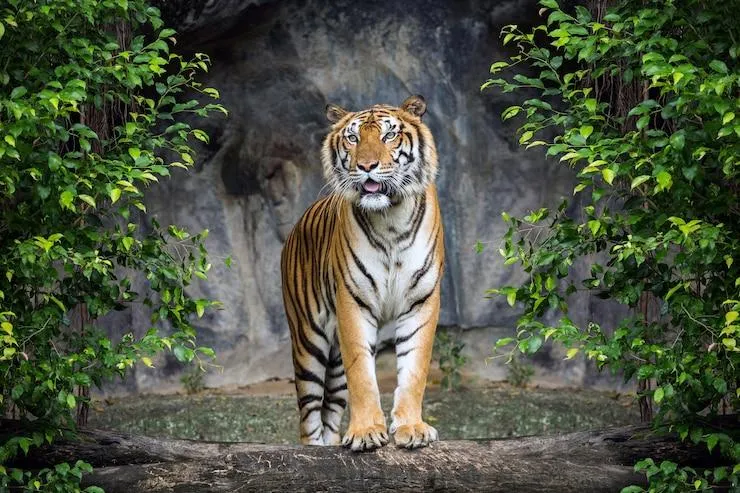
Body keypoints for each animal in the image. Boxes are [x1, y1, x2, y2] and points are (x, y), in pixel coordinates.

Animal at [280, 95, 444, 451]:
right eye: (353, 138)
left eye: (389, 136)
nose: (367, 166)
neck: (391, 218)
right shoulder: (352, 302)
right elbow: (362, 375)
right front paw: (367, 431)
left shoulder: (421, 300)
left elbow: (414, 369)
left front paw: (412, 428)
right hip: (308, 341)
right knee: (309, 417)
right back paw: (313, 450)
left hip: (333, 362)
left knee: (330, 413)